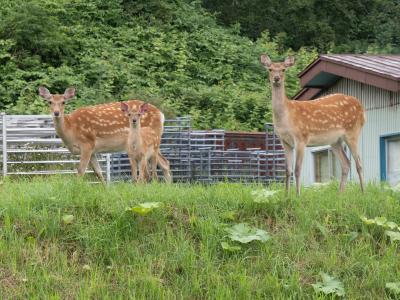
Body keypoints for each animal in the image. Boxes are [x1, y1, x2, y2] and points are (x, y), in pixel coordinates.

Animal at [38, 84, 166, 183]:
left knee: (159, 165)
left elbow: (81, 171)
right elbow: (98, 172)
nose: (56, 113)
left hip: (153, 142)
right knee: (162, 164)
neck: (71, 130)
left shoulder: (87, 143)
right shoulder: (92, 150)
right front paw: (106, 189)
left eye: (63, 102)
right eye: (50, 102)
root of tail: (161, 114)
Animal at [260, 54, 366, 196]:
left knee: (358, 163)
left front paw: (297, 195)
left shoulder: (301, 137)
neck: (286, 117)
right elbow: (288, 170)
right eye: (270, 69)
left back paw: (363, 192)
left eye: (283, 69)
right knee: (346, 163)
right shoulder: (284, 141)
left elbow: (297, 169)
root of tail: (362, 108)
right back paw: (340, 194)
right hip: (335, 141)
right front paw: (286, 196)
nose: (276, 78)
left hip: (353, 131)